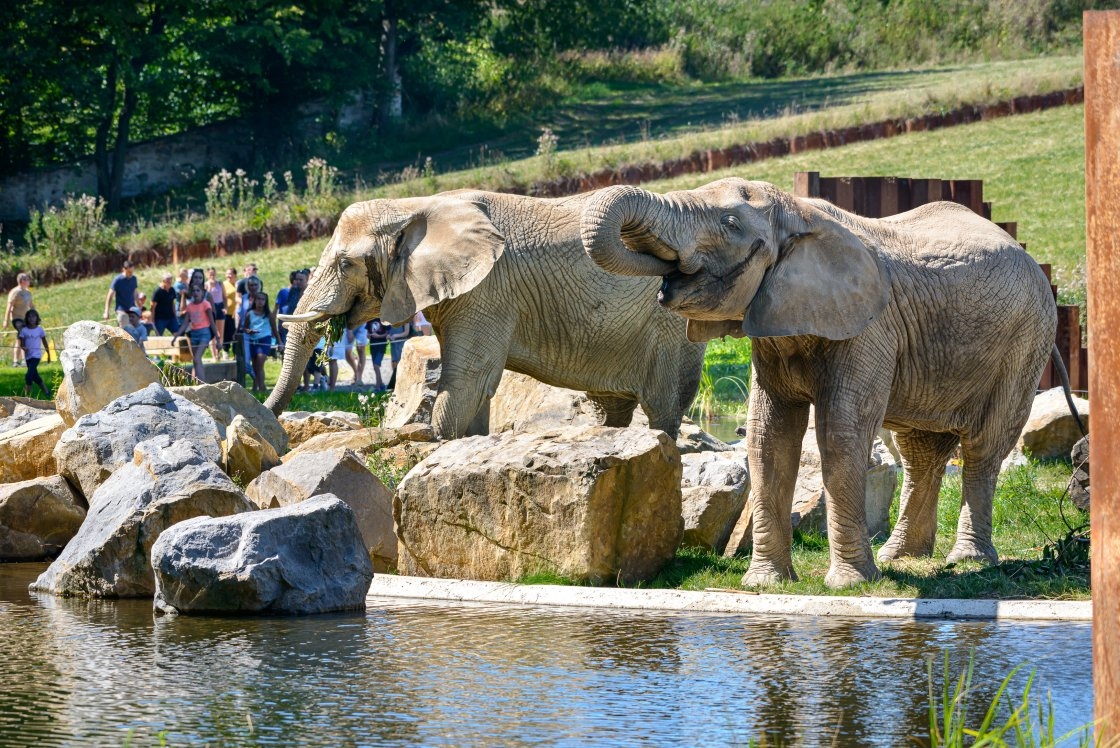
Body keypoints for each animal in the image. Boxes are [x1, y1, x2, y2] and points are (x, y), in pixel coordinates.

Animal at [263, 190, 703, 441]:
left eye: (344, 264)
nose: (268, 420)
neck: (414, 206)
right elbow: (476, 387)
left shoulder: (488, 290)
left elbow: (468, 380)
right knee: (611, 407)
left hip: (668, 327)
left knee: (663, 408)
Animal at [586, 178, 1057, 586]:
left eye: (731, 224)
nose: (665, 276)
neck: (798, 212)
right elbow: (768, 435)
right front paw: (766, 584)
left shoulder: (869, 327)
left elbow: (841, 432)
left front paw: (851, 585)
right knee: (920, 451)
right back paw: (901, 557)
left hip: (1026, 339)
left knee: (983, 445)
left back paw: (968, 560)